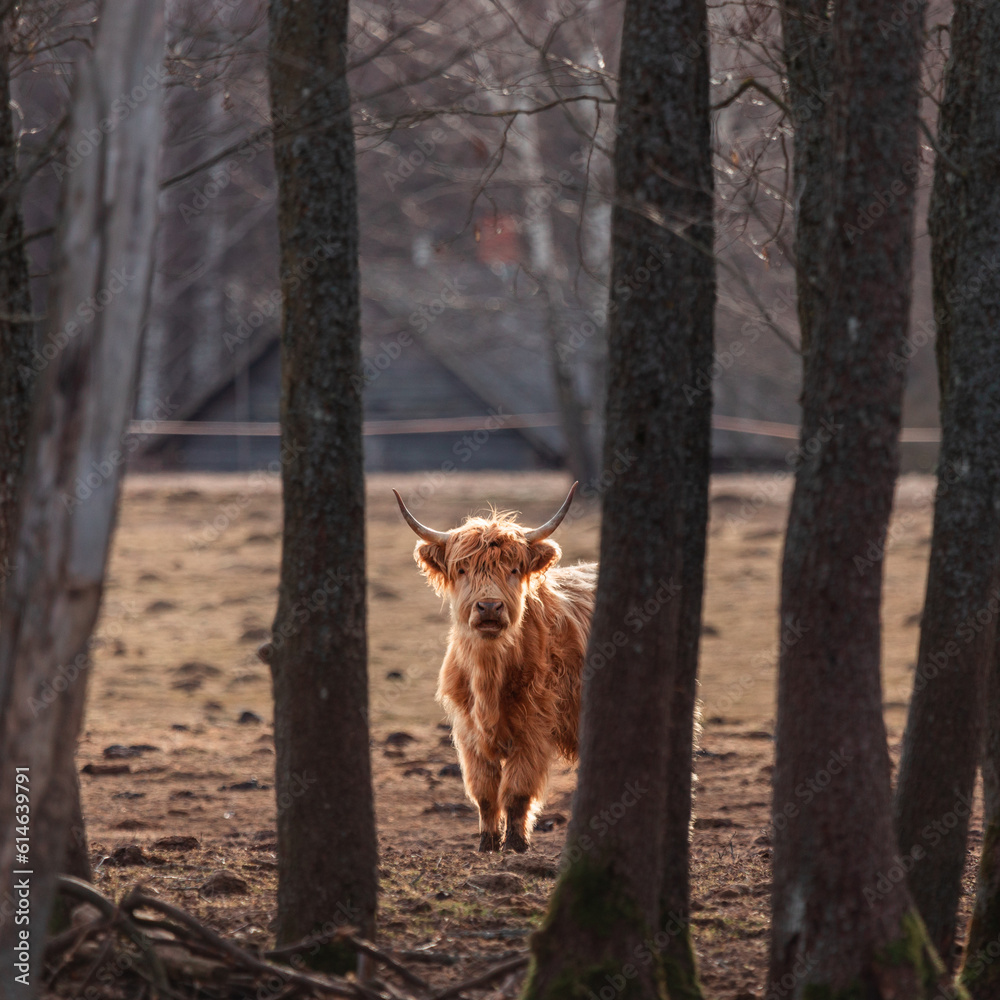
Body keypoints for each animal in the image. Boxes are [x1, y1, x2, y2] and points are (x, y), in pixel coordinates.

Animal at [394, 483, 596, 852]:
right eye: (462, 570)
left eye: (513, 569)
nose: (489, 607)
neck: (488, 676)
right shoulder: (467, 731)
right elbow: (485, 791)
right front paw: (487, 842)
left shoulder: (534, 728)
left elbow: (516, 790)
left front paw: (516, 844)